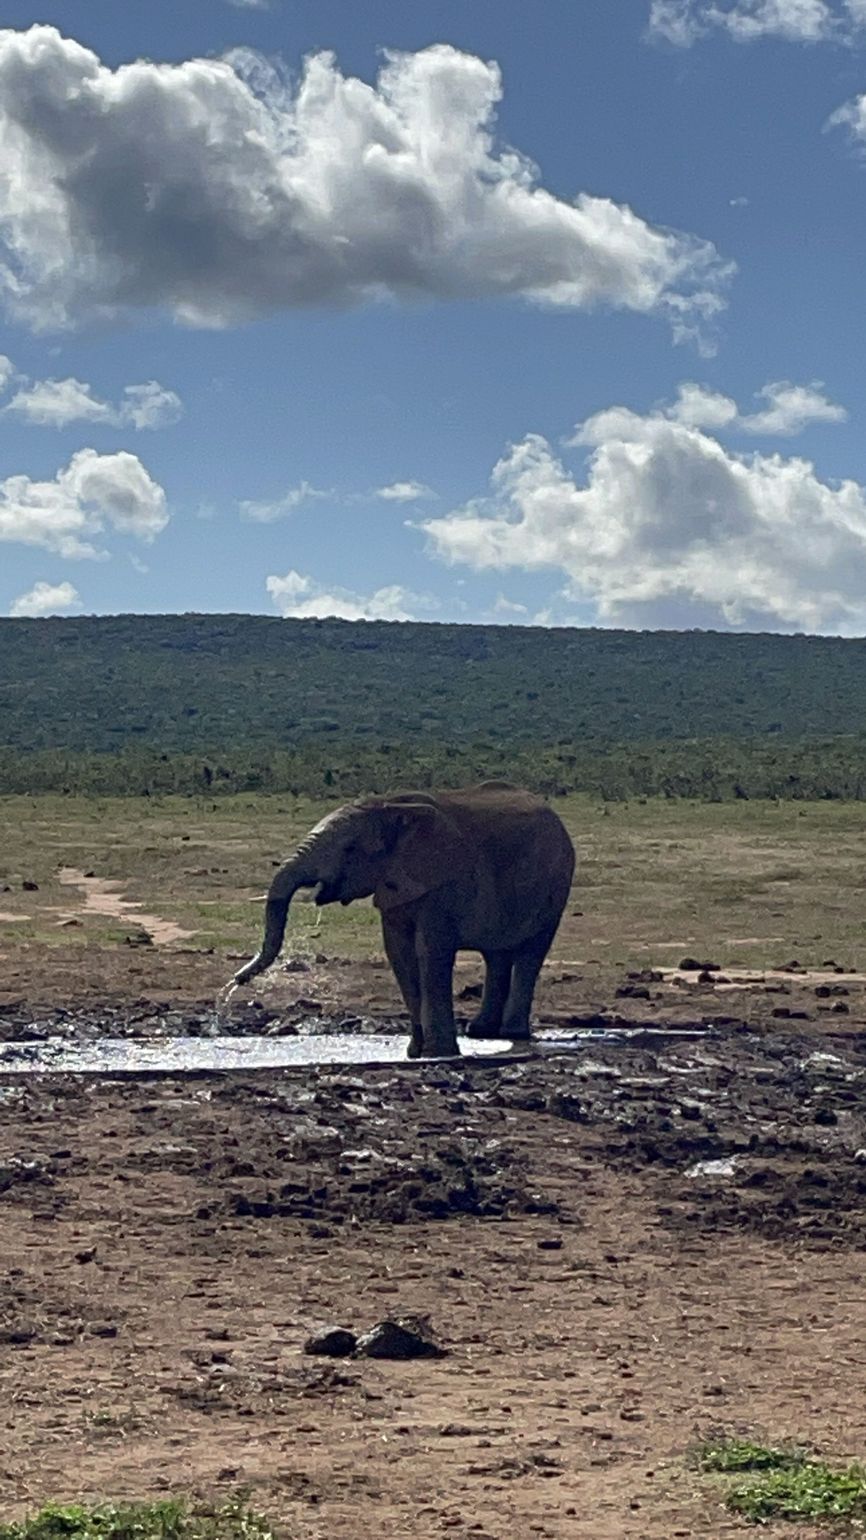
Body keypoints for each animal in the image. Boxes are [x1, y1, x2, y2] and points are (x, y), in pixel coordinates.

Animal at [233, 782, 575, 1059]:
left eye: (350, 848)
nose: (237, 981)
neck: (390, 807)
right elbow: (400, 954)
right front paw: (414, 1053)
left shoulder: (443, 880)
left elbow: (429, 952)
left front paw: (437, 1054)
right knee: (497, 954)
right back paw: (481, 1033)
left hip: (557, 883)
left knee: (531, 953)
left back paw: (512, 1034)